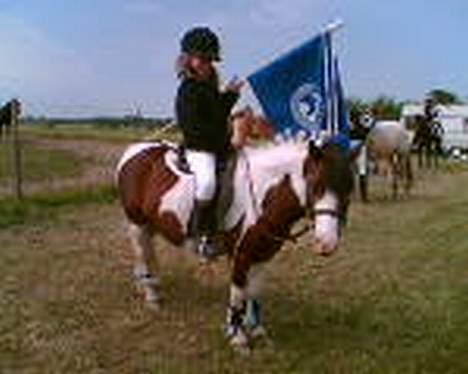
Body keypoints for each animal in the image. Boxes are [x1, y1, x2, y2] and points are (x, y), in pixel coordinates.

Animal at [115, 110, 356, 350]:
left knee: (147, 254)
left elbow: (255, 290)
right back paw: (151, 296)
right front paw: (237, 335)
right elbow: (238, 292)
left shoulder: (263, 253)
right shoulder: (241, 255)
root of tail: (135, 150)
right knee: (141, 253)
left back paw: (148, 285)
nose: (326, 243)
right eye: (316, 185)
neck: (261, 193)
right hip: (136, 223)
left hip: (150, 225)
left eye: (349, 189)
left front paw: (256, 329)